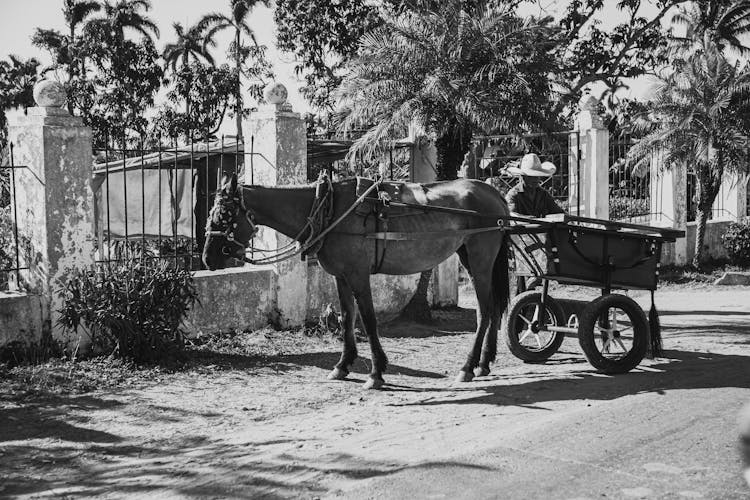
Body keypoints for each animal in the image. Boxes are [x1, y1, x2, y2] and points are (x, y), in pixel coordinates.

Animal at [203, 174, 516, 388]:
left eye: (224, 215)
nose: (207, 258)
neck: (328, 209)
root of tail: (495, 194)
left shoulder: (358, 274)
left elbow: (368, 319)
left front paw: (376, 373)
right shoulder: (341, 276)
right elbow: (347, 317)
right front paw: (343, 365)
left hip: (481, 259)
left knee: (485, 311)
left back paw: (468, 366)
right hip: (469, 257)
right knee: (491, 309)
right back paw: (484, 363)